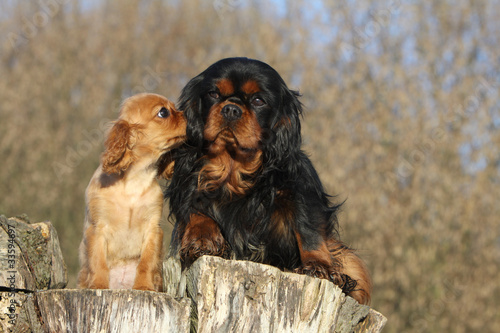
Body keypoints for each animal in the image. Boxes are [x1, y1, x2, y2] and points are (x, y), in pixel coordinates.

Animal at [77, 92, 187, 290]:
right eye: (163, 112)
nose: (188, 114)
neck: (135, 179)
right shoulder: (97, 228)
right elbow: (98, 260)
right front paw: (98, 285)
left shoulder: (153, 229)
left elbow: (147, 262)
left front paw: (144, 286)